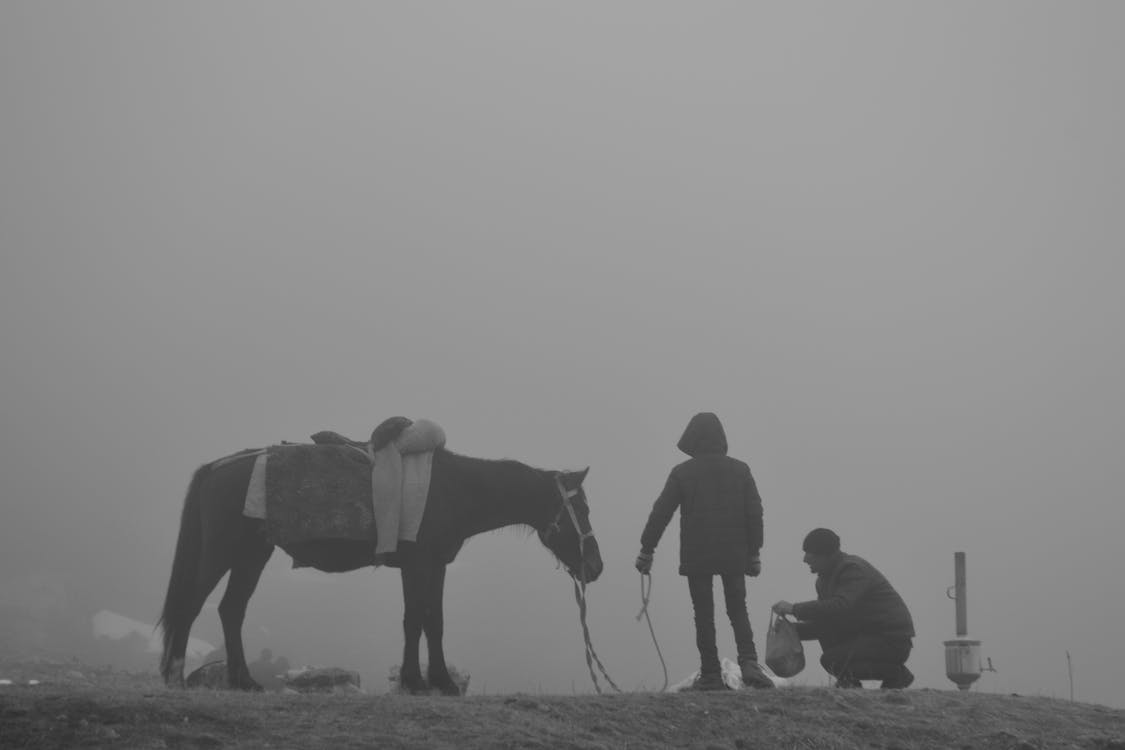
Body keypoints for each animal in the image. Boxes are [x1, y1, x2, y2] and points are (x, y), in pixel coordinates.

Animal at [156, 443, 607, 697]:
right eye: (582, 508)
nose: (596, 566)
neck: (453, 489)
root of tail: (218, 466)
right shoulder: (418, 563)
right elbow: (418, 620)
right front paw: (421, 682)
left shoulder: (434, 565)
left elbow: (429, 621)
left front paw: (434, 682)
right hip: (224, 552)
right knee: (192, 605)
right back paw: (175, 676)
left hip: (253, 554)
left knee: (231, 610)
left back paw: (244, 681)